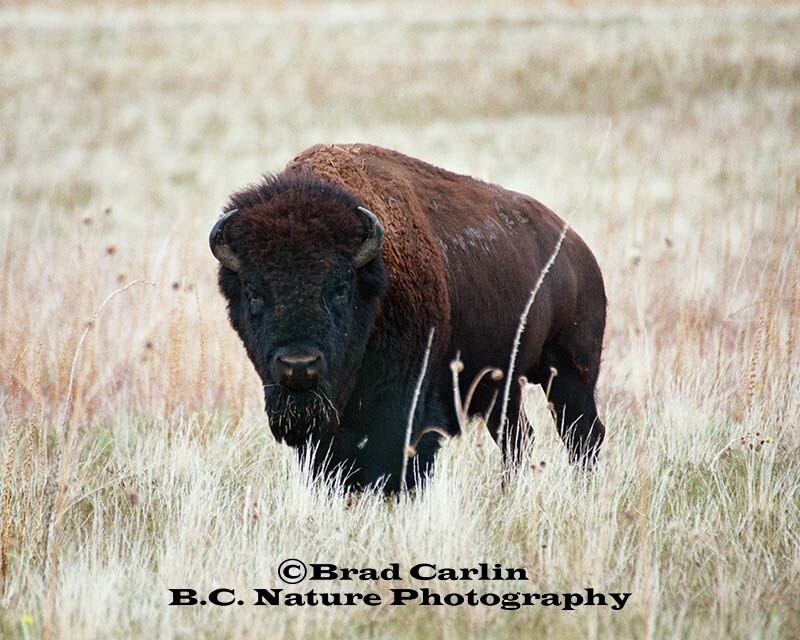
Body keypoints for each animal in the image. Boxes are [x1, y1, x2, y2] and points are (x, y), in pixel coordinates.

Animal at [211, 144, 606, 492]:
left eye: (340, 288)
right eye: (254, 292)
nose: (298, 365)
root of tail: (579, 253)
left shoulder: (406, 405)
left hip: (570, 373)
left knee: (583, 435)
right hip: (504, 387)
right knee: (519, 437)